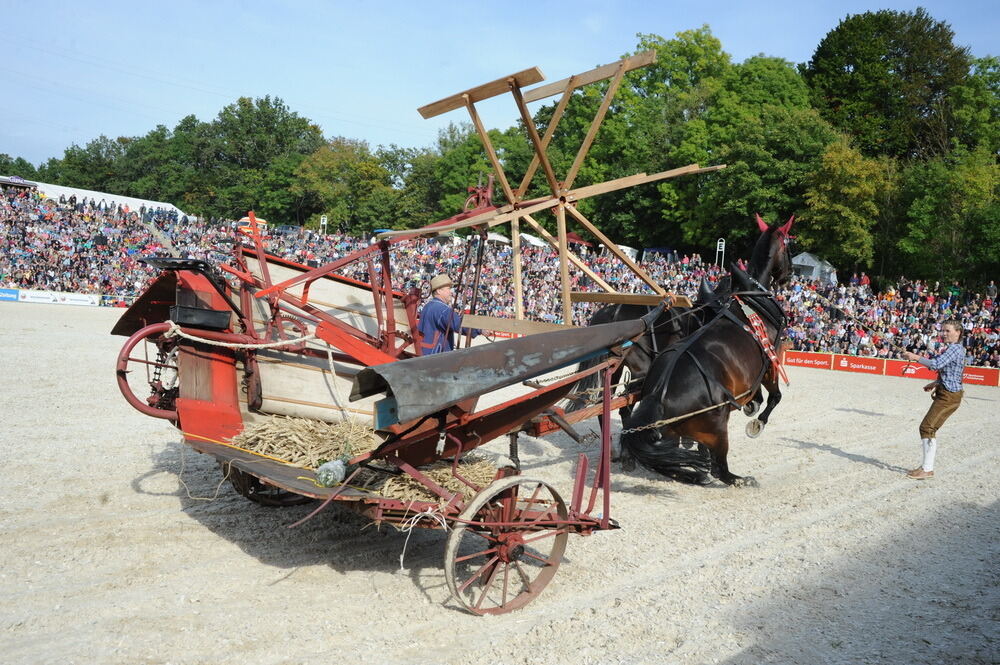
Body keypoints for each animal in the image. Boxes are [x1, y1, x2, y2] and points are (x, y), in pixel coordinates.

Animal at [620, 215, 792, 486]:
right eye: (788, 245)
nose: (790, 273)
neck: (752, 302)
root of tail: (659, 397)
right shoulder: (770, 362)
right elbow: (775, 396)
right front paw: (757, 423)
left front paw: (752, 404)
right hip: (717, 427)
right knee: (720, 469)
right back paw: (738, 478)